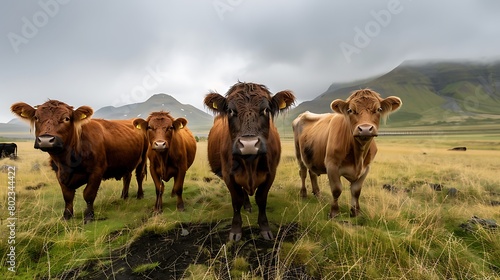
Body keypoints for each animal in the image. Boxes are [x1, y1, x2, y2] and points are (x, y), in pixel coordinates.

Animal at [10, 99, 147, 222]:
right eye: (36, 117)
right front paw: (67, 216)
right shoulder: (58, 173)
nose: (45, 140)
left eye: (66, 118)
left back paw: (140, 195)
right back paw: (124, 196)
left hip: (143, 158)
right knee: (127, 177)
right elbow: (67, 196)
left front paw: (89, 216)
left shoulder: (96, 171)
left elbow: (88, 194)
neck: (67, 161)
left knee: (139, 176)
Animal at [204, 81, 294, 241]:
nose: (249, 145)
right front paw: (235, 230)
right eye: (230, 111)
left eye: (265, 110)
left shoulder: (271, 173)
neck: (250, 163)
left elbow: (261, 199)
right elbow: (237, 200)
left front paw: (265, 228)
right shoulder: (228, 175)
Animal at [292, 89, 402, 219]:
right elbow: (336, 190)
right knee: (303, 172)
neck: (358, 156)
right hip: (298, 153)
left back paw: (318, 195)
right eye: (350, 110)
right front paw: (334, 212)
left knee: (312, 173)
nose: (365, 129)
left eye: (379, 109)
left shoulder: (366, 168)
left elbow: (356, 191)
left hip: (311, 156)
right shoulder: (332, 165)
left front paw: (356, 212)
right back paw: (303, 194)